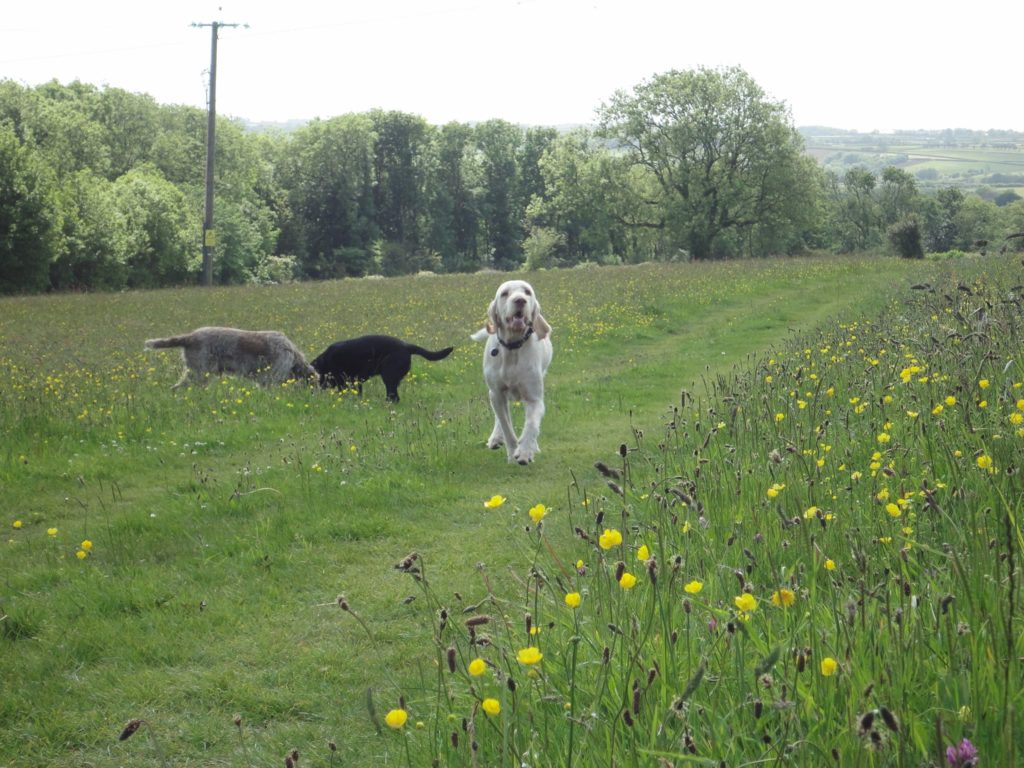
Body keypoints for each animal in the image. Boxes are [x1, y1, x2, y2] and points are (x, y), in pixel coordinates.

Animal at [311, 335, 452, 403]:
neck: (325, 361)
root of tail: (406, 346)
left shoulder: (343, 381)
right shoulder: (356, 382)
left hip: (388, 376)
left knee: (393, 397)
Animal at [471, 280, 552, 466]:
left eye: (527, 292)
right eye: (505, 293)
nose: (520, 300)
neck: (513, 347)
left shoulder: (534, 398)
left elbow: (531, 425)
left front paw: (525, 452)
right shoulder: (497, 393)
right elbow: (506, 426)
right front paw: (512, 451)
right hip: (495, 394)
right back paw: (496, 438)